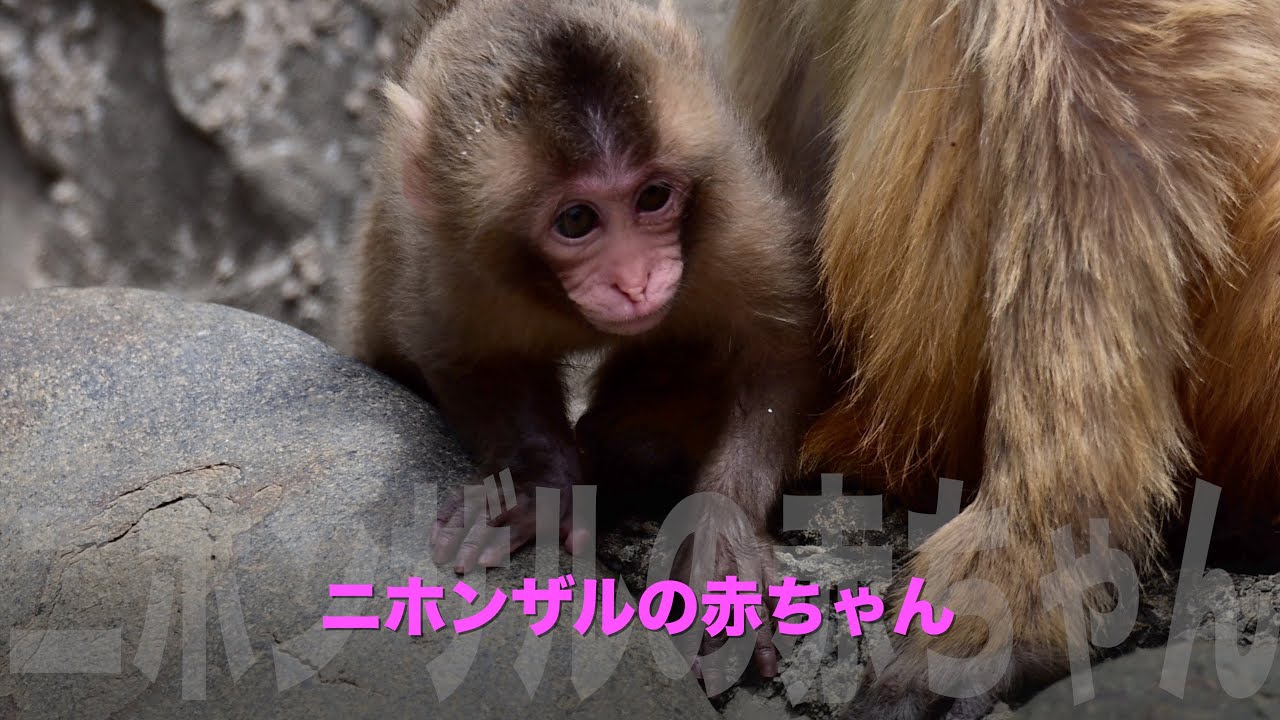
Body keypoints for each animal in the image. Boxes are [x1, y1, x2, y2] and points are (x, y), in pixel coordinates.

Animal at [342, 0, 825, 682]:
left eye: (653, 197)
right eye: (576, 220)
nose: (635, 281)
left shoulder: (733, 214)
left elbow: (780, 345)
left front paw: (719, 544)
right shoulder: (447, 256)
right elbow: (466, 356)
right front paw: (537, 484)